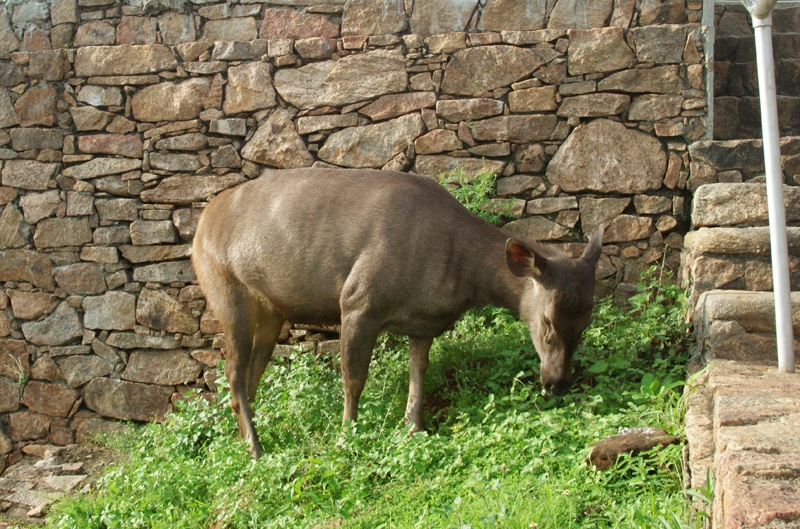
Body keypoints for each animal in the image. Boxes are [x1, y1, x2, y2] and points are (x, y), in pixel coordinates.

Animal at [191, 169, 600, 458]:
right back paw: (255, 448)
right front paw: (346, 436)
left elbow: (419, 373)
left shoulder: (423, 324)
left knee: (250, 374)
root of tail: (200, 225)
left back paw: (244, 438)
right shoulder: (359, 300)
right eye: (547, 322)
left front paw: (414, 427)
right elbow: (354, 378)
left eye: (585, 322)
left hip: (270, 311)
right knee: (232, 371)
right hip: (223, 288)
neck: (458, 274)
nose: (557, 383)